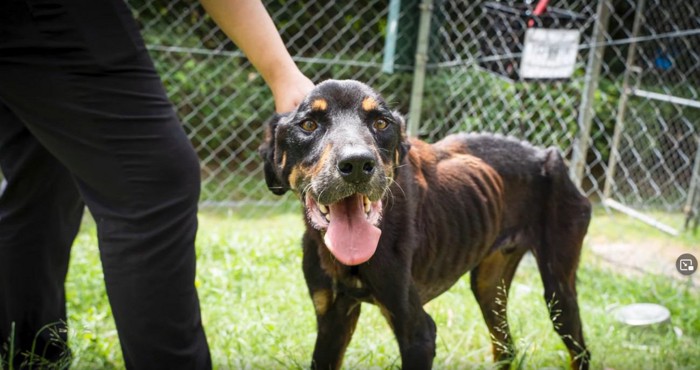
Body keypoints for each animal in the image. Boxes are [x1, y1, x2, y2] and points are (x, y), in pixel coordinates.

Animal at [260, 81, 592, 370]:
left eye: (381, 123)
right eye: (308, 125)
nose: (356, 164)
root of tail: (547, 154)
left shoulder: (417, 332)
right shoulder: (332, 318)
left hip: (558, 293)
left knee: (579, 350)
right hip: (488, 286)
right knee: (506, 347)